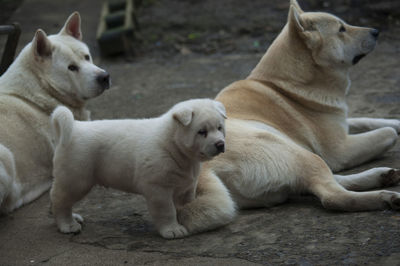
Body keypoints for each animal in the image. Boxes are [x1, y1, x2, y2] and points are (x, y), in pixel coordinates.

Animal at [49, 98, 228, 239]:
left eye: (220, 128)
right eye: (202, 132)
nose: (220, 144)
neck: (172, 144)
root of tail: (74, 128)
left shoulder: (186, 187)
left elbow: (187, 205)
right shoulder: (158, 188)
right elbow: (167, 210)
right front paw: (172, 230)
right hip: (76, 179)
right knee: (60, 200)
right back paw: (68, 225)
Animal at [177, 0, 400, 235]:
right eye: (341, 29)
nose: (376, 31)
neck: (282, 83)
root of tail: (203, 171)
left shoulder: (340, 123)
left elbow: (366, 120)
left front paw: (396, 121)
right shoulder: (340, 150)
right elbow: (388, 133)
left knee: (322, 183)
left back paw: (382, 176)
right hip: (296, 152)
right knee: (332, 195)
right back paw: (387, 197)